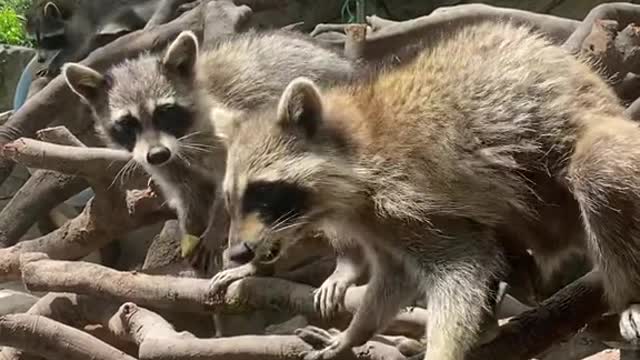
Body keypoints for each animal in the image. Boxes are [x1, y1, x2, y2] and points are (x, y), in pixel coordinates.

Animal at [214, 21, 640, 360]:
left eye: (262, 193)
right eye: (231, 198)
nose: (237, 252)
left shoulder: (405, 198)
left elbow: (461, 268)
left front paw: (441, 349)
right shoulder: (379, 224)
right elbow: (394, 277)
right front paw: (356, 332)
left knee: (597, 168)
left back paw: (627, 295)